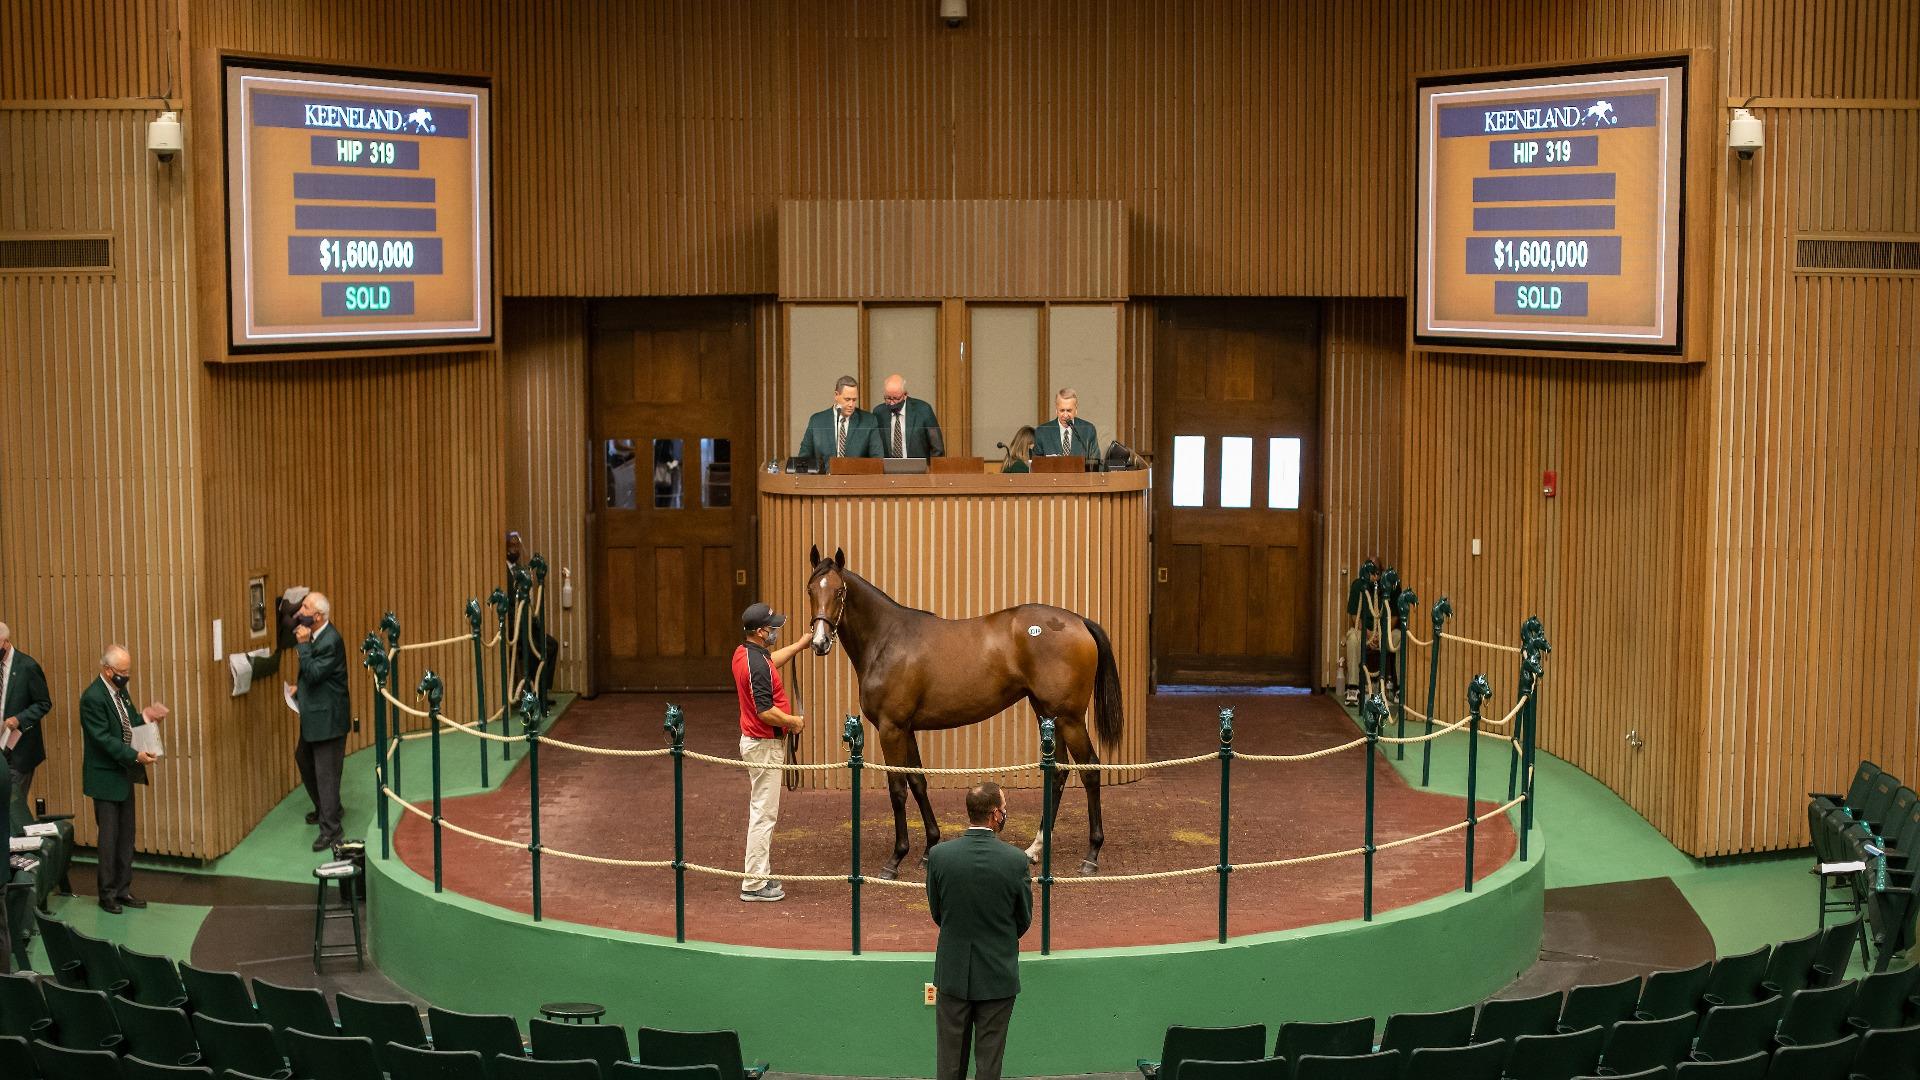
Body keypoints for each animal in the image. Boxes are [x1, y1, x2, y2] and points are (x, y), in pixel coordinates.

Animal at [798, 545, 1121, 876]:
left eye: (839, 591)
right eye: (810, 589)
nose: (820, 642)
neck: (887, 640)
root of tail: (1078, 621)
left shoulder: (891, 728)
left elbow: (898, 788)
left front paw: (896, 858)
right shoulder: (906, 728)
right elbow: (918, 782)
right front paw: (929, 847)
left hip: (1069, 718)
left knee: (1090, 769)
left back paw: (1091, 855)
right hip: (1047, 713)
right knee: (1057, 772)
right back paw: (1035, 848)